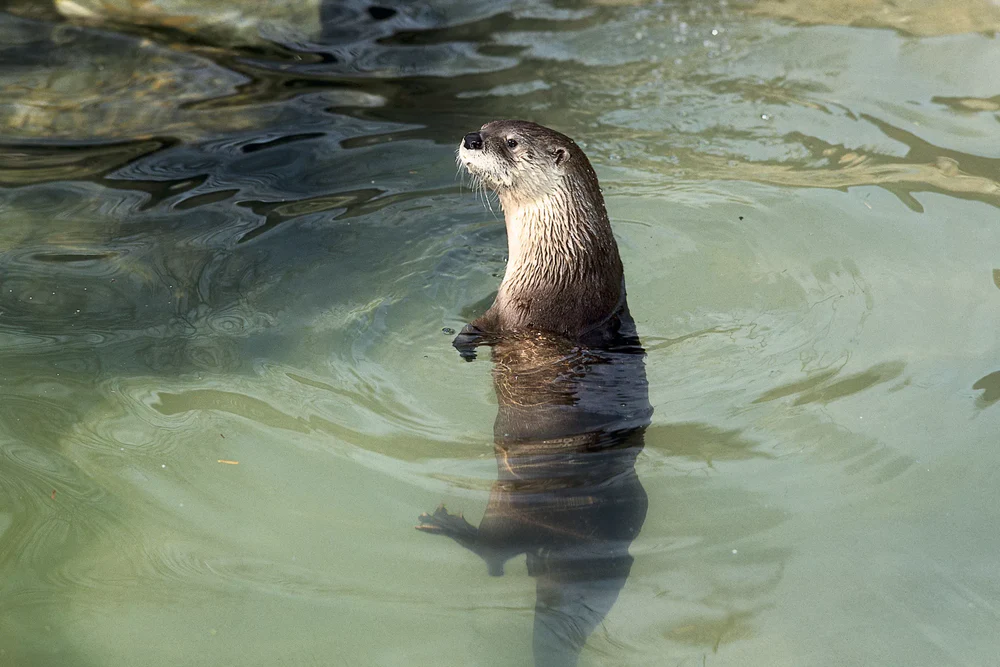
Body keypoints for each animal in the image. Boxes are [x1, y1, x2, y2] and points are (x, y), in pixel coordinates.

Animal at [417, 122, 650, 667]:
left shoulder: (518, 310)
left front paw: (463, 345)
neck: (562, 261)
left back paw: (450, 527)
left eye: (512, 142)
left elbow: (482, 328)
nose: (471, 139)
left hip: (514, 508)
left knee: (497, 551)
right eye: (486, 126)